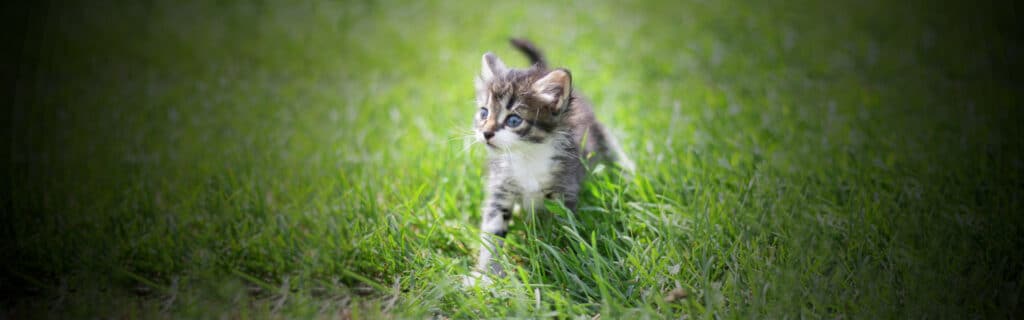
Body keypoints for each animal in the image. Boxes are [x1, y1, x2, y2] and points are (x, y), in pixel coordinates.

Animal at [468, 38, 630, 283]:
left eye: (514, 120)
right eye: (484, 113)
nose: (486, 133)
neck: (527, 154)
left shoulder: (564, 189)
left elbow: (561, 230)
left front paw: (560, 264)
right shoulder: (500, 188)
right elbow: (492, 234)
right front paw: (486, 275)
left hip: (599, 131)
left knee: (612, 147)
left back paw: (629, 173)